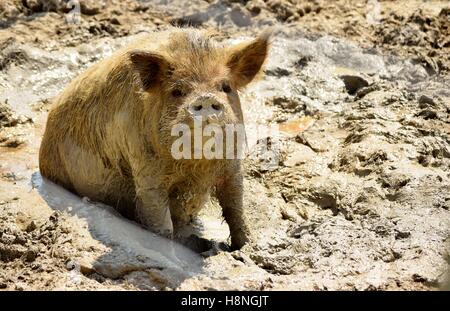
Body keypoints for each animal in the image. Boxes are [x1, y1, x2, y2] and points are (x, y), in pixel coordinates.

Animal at [38, 27, 268, 251]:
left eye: (225, 87)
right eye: (177, 91)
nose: (205, 98)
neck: (196, 165)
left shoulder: (232, 165)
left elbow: (235, 207)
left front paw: (246, 247)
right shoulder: (145, 168)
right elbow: (160, 220)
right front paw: (170, 251)